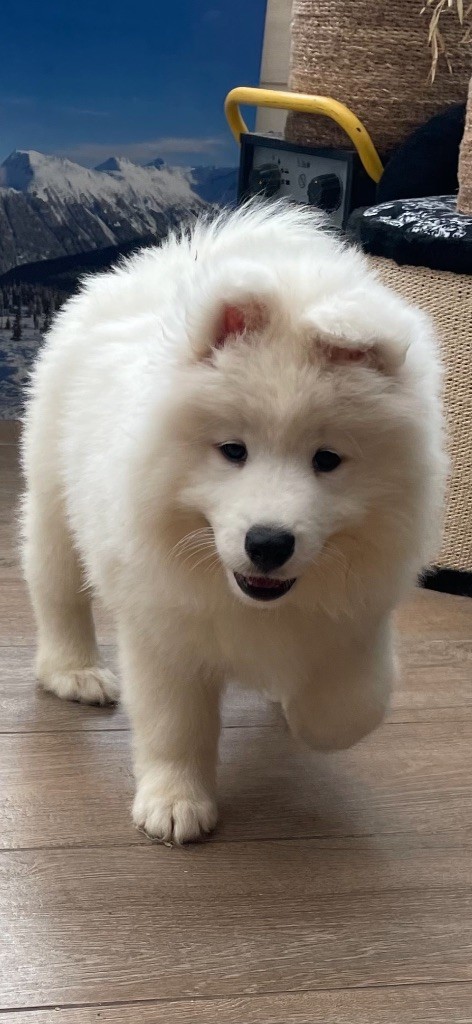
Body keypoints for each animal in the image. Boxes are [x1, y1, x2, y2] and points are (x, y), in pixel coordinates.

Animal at [21, 202, 446, 843]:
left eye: (327, 460)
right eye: (232, 451)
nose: (268, 543)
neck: (251, 602)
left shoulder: (357, 615)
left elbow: (355, 705)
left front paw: (307, 714)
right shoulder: (163, 627)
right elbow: (175, 724)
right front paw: (175, 803)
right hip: (54, 497)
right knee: (57, 590)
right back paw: (76, 673)